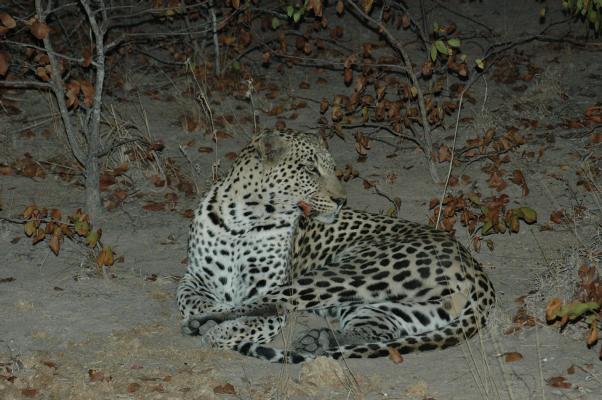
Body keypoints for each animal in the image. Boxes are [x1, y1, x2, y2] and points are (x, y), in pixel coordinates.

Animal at [175, 128, 492, 362]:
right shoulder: (193, 277)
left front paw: (218, 329)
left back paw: (207, 325)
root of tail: (476, 266)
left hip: (350, 271)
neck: (243, 220)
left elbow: (254, 311)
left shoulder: (265, 286)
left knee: (272, 303)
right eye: (310, 169)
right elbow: (188, 297)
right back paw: (320, 340)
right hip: (394, 307)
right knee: (382, 332)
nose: (341, 200)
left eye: (332, 169)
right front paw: (206, 310)